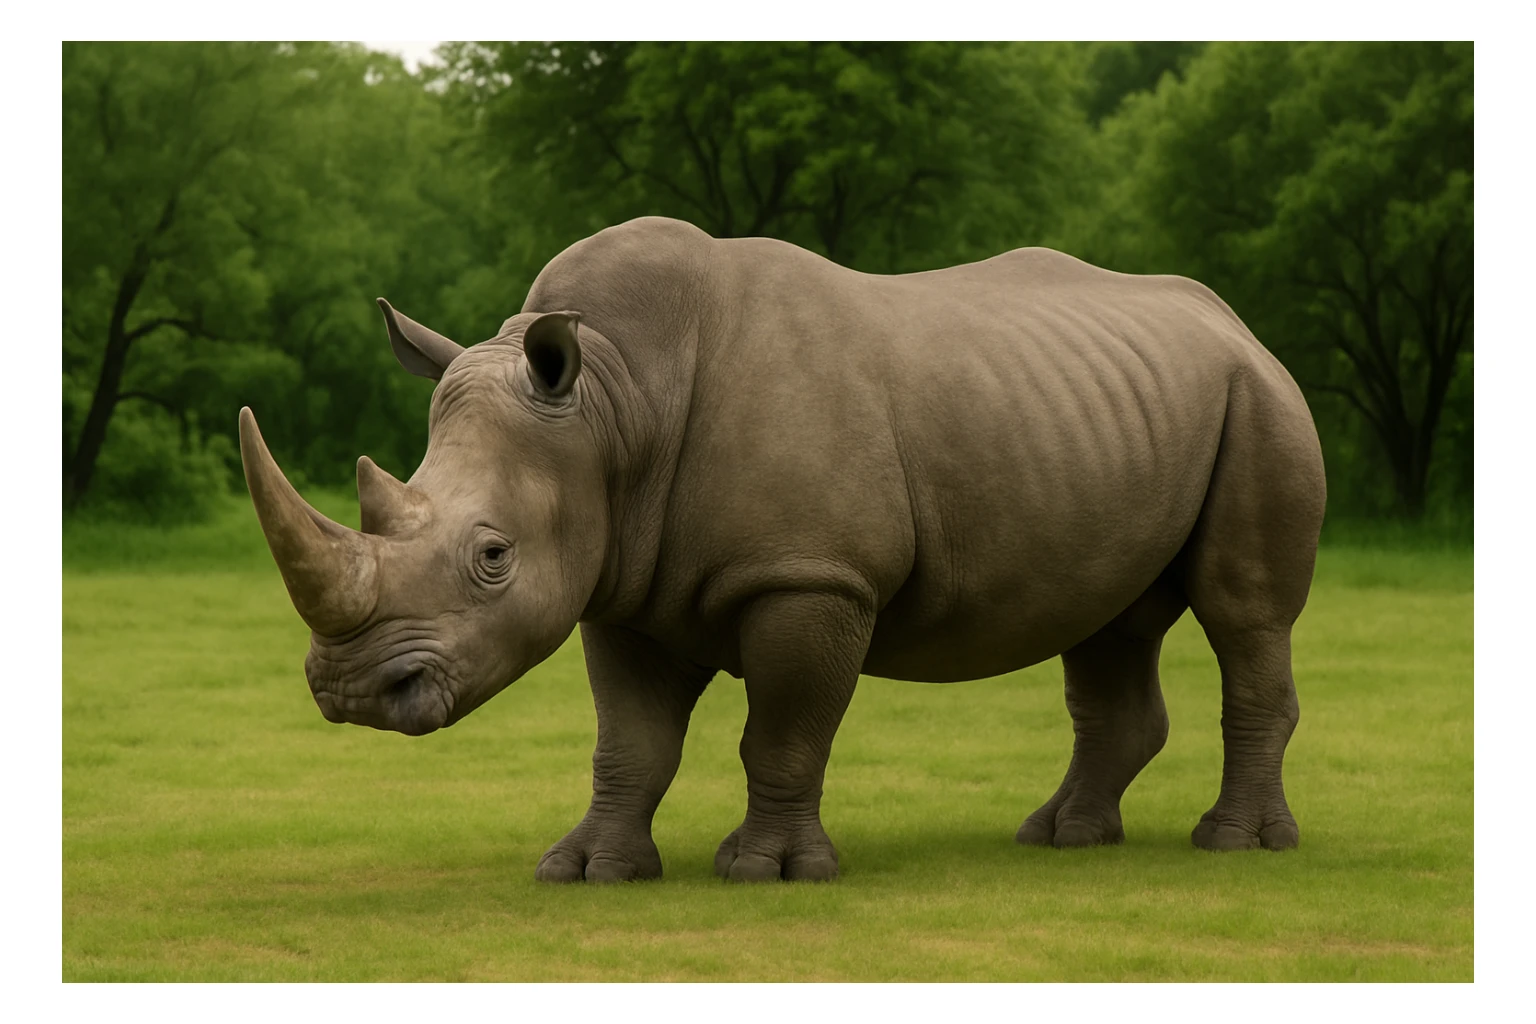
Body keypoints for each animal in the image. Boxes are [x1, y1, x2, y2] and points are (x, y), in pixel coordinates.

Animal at [239, 216, 1326, 883]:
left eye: (494, 556)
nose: (349, 694)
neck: (611, 403)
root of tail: (1235, 321)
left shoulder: (812, 576)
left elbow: (785, 729)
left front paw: (767, 871)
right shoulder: (620, 582)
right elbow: (631, 740)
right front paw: (589, 870)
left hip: (1260, 397)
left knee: (1243, 613)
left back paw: (1235, 847)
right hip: (1115, 409)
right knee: (1110, 623)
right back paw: (1063, 840)